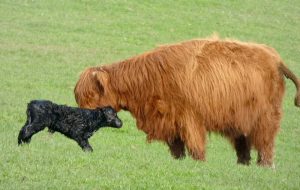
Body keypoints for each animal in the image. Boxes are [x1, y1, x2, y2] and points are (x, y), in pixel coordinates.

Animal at [74, 37, 298, 166]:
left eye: (91, 96)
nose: (81, 119)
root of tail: (275, 58)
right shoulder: (169, 121)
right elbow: (177, 147)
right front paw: (179, 161)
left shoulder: (190, 118)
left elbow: (195, 146)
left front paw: (199, 164)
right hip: (242, 120)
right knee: (244, 144)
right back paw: (243, 165)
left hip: (266, 118)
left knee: (266, 143)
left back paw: (264, 165)